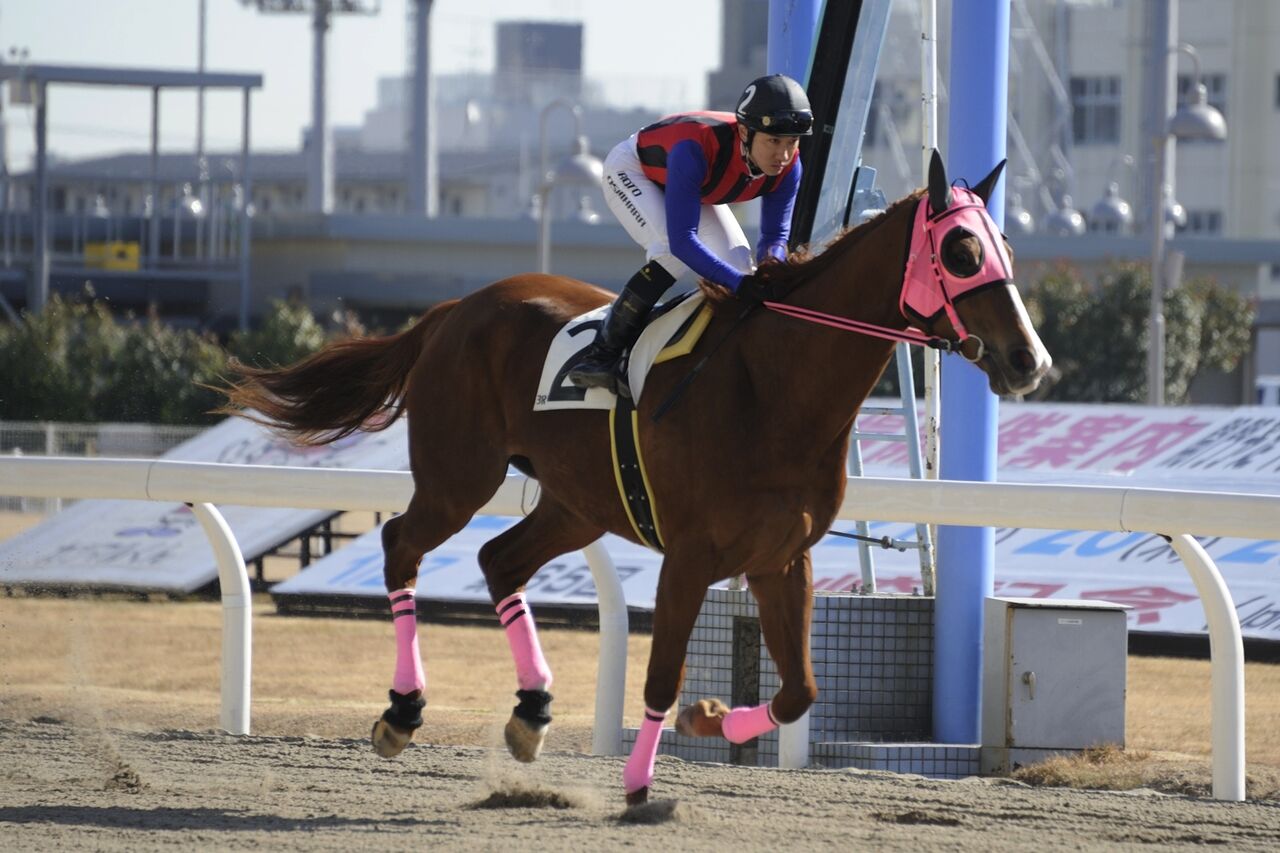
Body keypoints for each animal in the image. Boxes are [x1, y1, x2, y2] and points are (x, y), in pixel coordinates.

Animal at [219, 150, 1051, 806]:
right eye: (964, 250)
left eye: (1005, 243)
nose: (1029, 359)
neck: (773, 386)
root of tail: (453, 309)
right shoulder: (688, 556)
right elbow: (659, 678)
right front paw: (639, 781)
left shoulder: (783, 557)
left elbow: (799, 690)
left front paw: (710, 720)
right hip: (459, 475)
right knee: (400, 545)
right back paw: (403, 710)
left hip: (576, 501)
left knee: (497, 560)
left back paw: (531, 710)